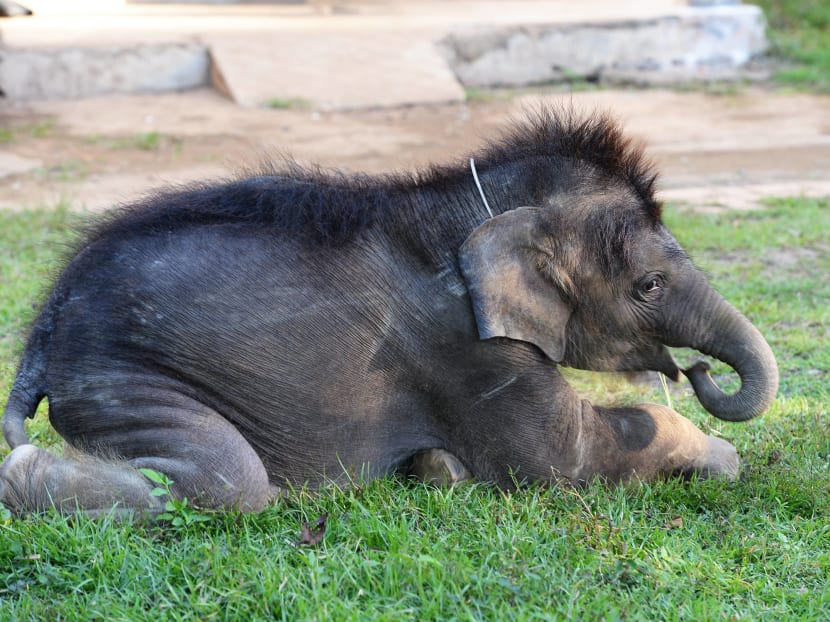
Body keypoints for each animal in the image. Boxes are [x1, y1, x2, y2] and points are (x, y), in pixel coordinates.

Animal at [0, 108, 778, 516]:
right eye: (649, 284)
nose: (697, 370)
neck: (463, 201)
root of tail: (45, 321)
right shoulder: (465, 345)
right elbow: (568, 457)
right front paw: (722, 459)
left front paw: (438, 468)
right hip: (121, 375)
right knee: (227, 482)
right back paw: (23, 477)